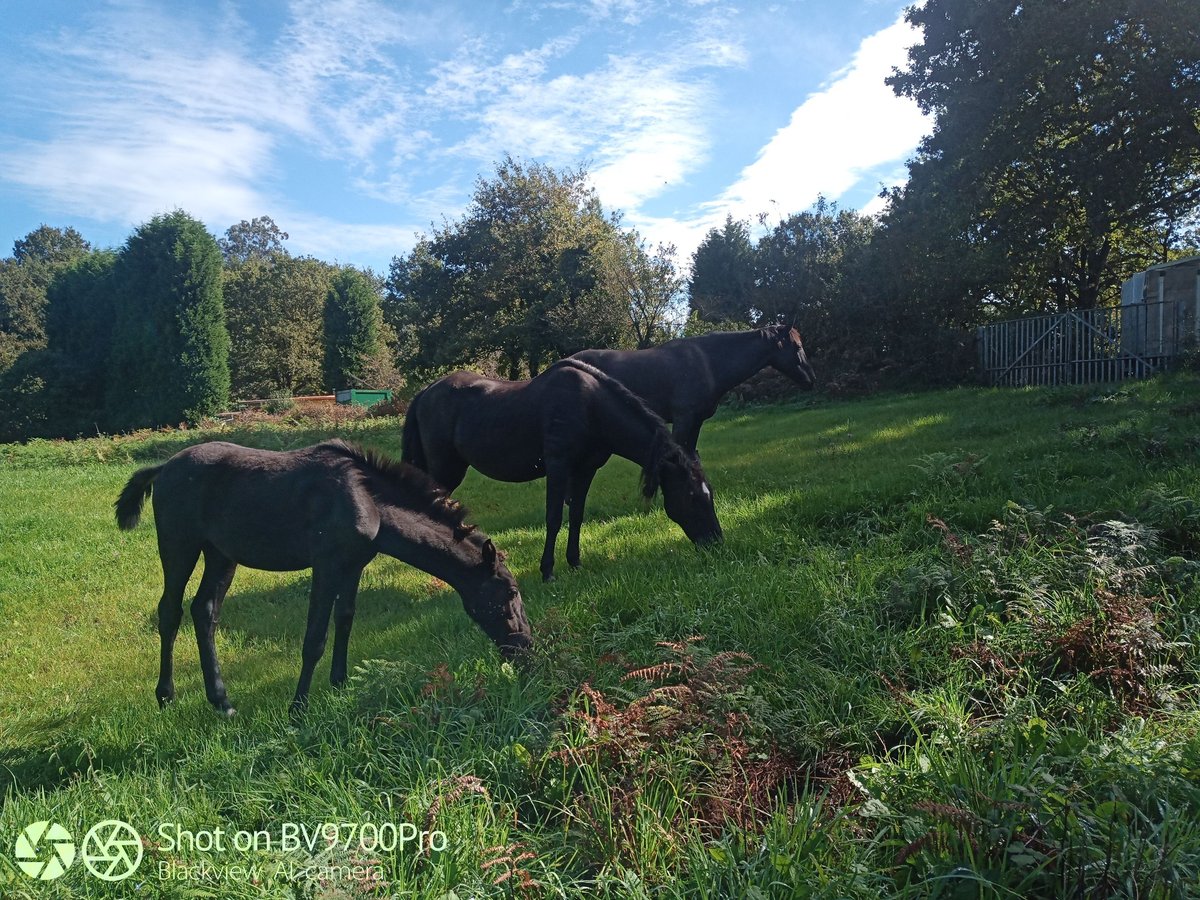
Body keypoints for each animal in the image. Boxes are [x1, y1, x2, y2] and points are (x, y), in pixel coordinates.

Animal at [115, 441, 530, 715]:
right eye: (509, 592)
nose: (526, 648)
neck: (368, 502)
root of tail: (163, 467)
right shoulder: (326, 566)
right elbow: (314, 638)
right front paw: (298, 709)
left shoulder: (353, 567)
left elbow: (344, 620)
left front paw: (340, 683)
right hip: (180, 547)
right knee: (170, 612)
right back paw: (166, 695)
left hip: (221, 555)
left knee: (204, 612)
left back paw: (222, 701)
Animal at [403, 355, 720, 580]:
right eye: (692, 496)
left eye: (711, 495)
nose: (716, 542)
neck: (590, 407)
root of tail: (425, 392)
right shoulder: (559, 466)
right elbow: (554, 518)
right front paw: (547, 571)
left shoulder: (585, 470)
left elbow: (577, 515)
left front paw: (575, 562)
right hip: (446, 469)